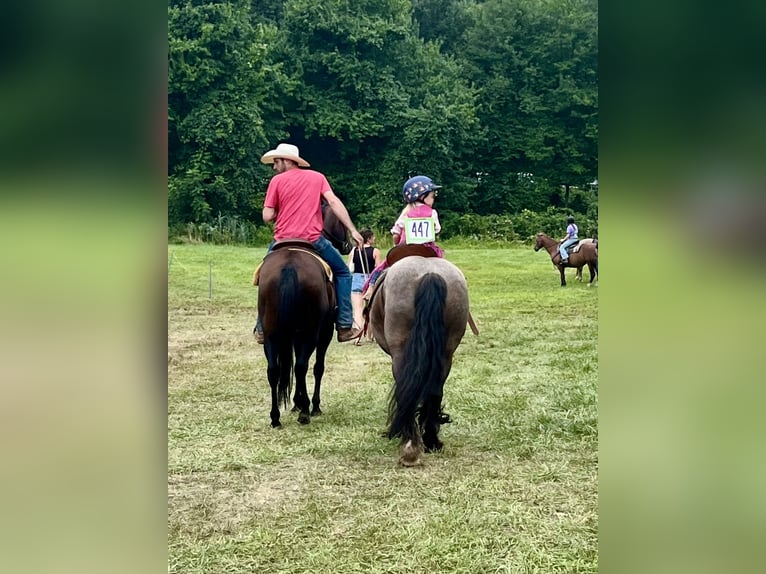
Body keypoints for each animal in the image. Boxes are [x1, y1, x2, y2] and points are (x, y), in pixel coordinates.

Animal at [258, 244, 336, 428]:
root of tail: (290, 267)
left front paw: (296, 402)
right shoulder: (325, 334)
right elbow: (318, 368)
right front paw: (312, 405)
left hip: (271, 336)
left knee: (273, 371)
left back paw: (275, 417)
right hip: (310, 334)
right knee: (301, 367)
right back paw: (305, 412)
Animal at [368, 256, 472, 468]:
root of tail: (430, 273)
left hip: (400, 353)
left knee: (404, 391)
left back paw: (409, 448)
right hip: (446, 354)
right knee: (434, 391)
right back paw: (431, 440)